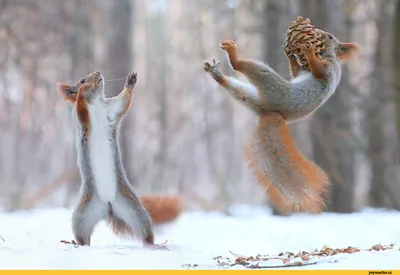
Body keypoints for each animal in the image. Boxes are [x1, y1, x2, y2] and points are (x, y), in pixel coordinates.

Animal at [56, 72, 181, 249]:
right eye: (81, 80)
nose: (98, 73)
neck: (95, 103)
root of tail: (108, 206)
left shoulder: (112, 110)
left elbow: (123, 101)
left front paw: (130, 82)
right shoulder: (81, 119)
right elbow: (81, 109)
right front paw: (82, 91)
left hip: (135, 210)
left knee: (144, 232)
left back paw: (153, 244)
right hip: (82, 214)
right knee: (84, 238)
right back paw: (76, 242)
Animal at [203, 30, 360, 216]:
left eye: (330, 37)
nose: (319, 33)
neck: (327, 55)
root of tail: (271, 113)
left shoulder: (329, 69)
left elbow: (319, 71)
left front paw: (308, 52)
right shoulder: (304, 72)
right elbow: (296, 72)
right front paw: (291, 55)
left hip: (272, 84)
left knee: (244, 67)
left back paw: (233, 56)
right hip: (251, 98)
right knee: (238, 90)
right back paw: (217, 74)